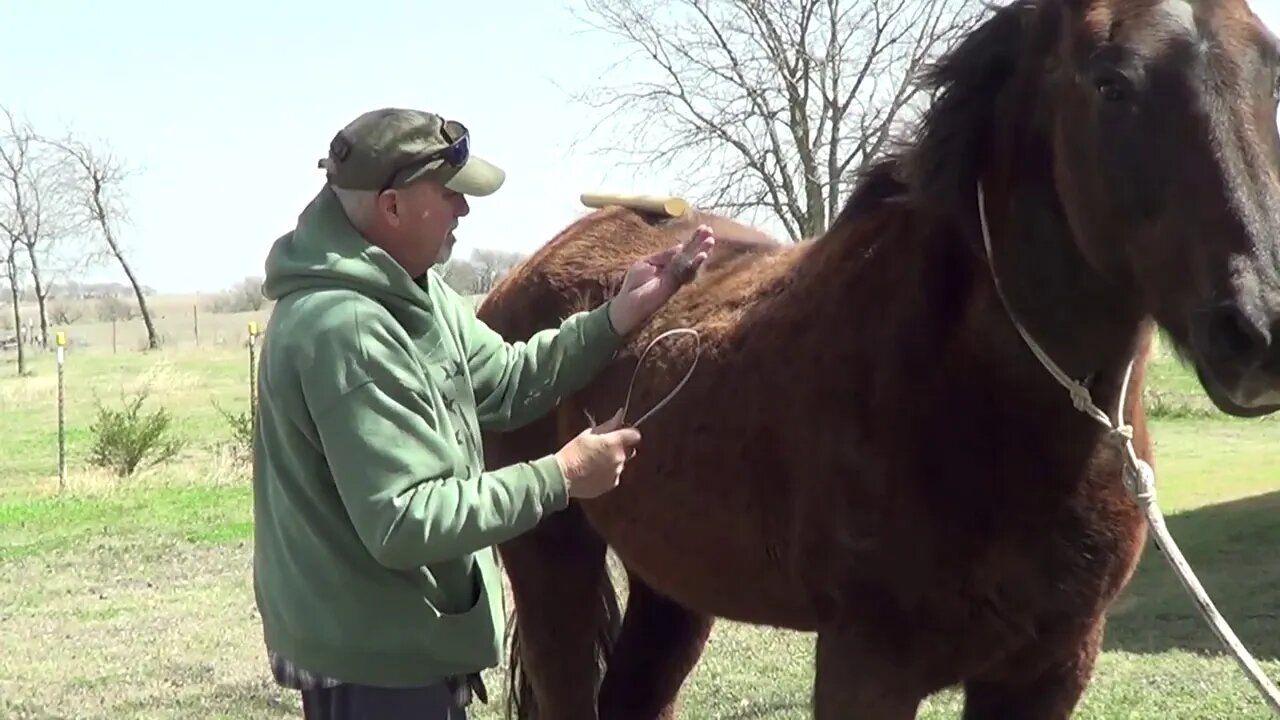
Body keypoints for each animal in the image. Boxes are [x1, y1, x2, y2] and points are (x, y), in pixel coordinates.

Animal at [473, 0, 1280, 712]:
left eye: (1270, 73)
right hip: (553, 561)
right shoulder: (869, 664)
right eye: (1111, 83)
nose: (1260, 327)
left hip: (673, 584)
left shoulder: (1051, 667)